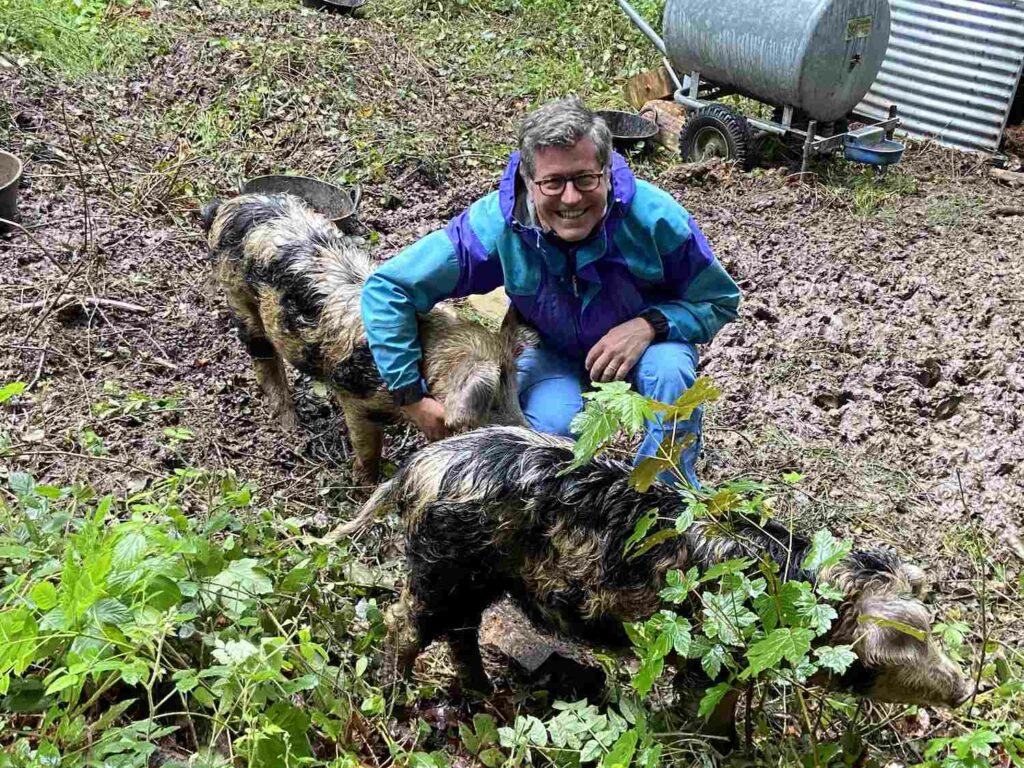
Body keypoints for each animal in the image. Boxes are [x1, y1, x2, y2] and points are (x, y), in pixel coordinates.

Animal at [201, 193, 536, 481]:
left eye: (514, 391)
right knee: (263, 357)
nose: (529, 431)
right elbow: (367, 447)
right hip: (237, 295)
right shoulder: (354, 399)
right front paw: (366, 484)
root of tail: (229, 205)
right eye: (491, 404)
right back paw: (290, 425)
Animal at [356, 428, 970, 741]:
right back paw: (395, 705)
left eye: (930, 626)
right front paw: (728, 747)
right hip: (442, 570)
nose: (963, 689)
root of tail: (412, 471)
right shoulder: (708, 659)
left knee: (460, 634)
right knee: (403, 623)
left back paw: (487, 696)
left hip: (473, 580)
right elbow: (712, 710)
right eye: (895, 647)